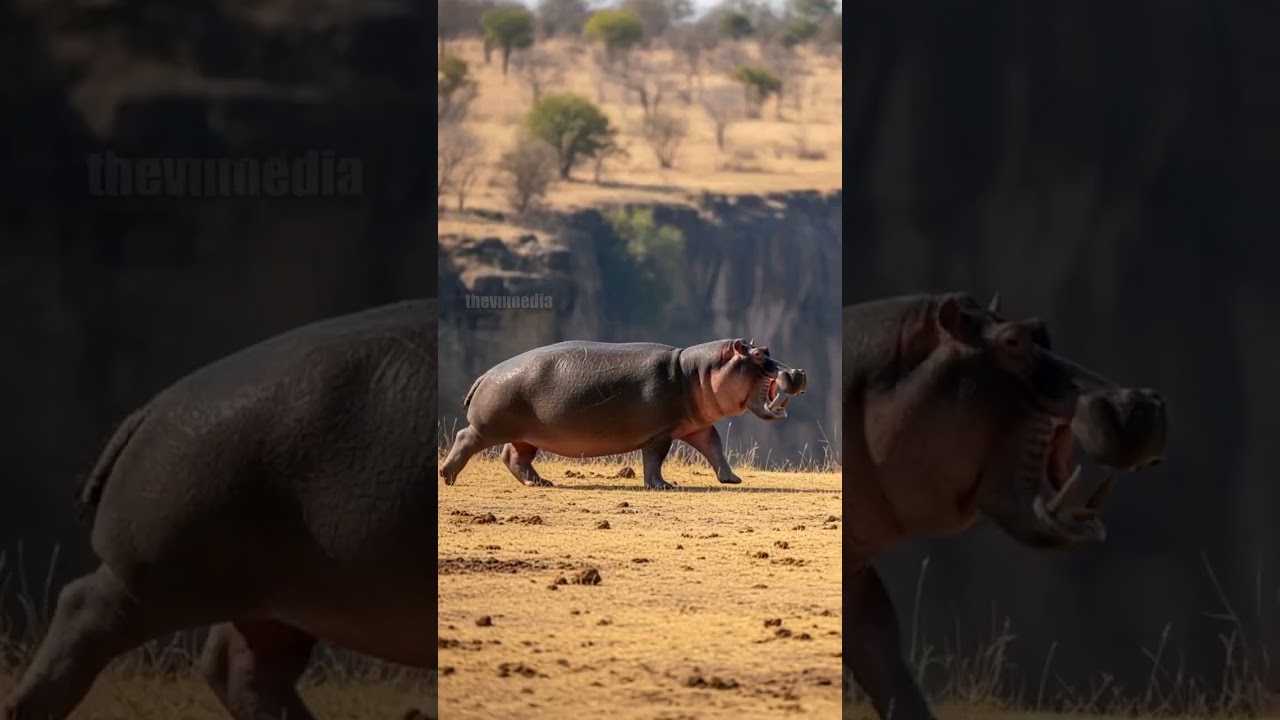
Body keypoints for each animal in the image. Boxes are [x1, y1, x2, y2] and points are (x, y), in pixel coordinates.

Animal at [2, 299, 437, 720]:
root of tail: (150, 408)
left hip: (273, 593)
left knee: (238, 666)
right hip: (163, 575)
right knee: (84, 607)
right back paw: (23, 709)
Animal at [440, 339, 807, 490]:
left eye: (768, 349)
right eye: (758, 356)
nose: (798, 371)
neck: (696, 372)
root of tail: (485, 374)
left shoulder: (697, 426)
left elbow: (715, 448)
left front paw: (732, 479)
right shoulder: (661, 433)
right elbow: (655, 459)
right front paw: (664, 486)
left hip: (527, 434)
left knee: (514, 456)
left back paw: (541, 482)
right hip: (489, 426)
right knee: (466, 438)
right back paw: (448, 476)